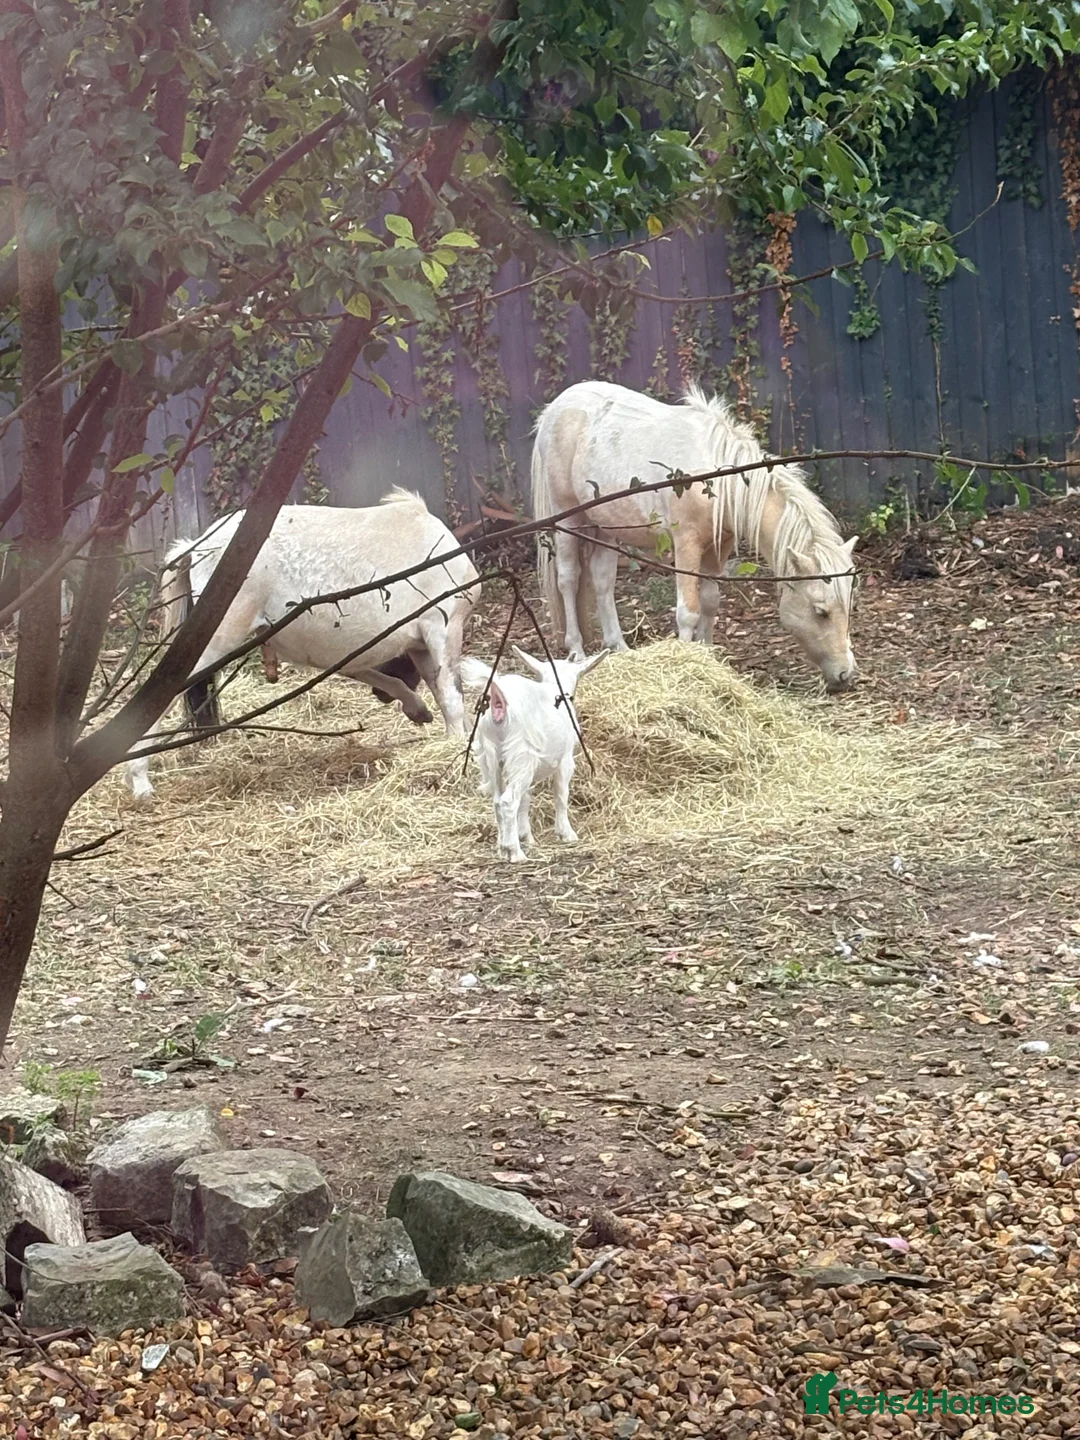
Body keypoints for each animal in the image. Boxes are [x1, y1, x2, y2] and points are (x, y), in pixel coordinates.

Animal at [125, 488, 480, 798]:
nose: (380, 698)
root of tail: (197, 547)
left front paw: (426, 715)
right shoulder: (442, 629)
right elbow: (451, 696)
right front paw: (458, 750)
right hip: (216, 641)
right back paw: (140, 781)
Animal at [531, 381, 858, 692]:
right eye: (821, 611)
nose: (845, 675)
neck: (716, 479)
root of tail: (553, 410)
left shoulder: (719, 546)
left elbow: (710, 602)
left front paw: (708, 656)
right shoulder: (686, 544)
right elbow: (688, 610)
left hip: (605, 526)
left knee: (602, 581)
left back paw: (619, 648)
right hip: (567, 517)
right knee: (568, 579)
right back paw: (576, 650)